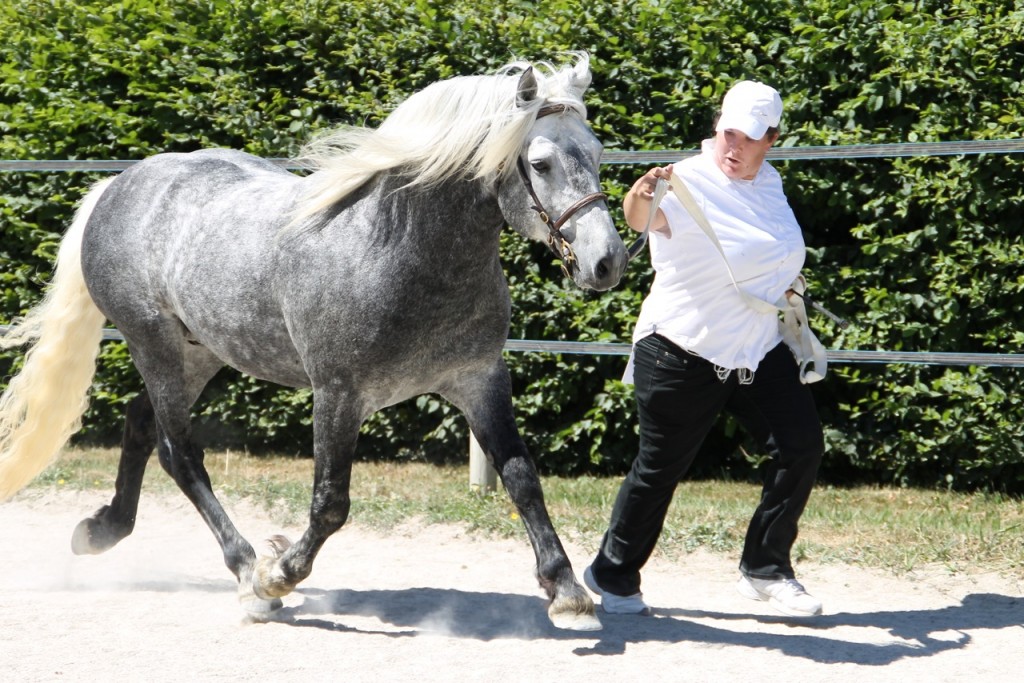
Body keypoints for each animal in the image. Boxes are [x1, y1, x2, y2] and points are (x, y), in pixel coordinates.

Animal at [0, 56, 622, 634]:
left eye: (596, 151)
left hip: (200, 352)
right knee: (179, 453)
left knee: (139, 423)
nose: (607, 261)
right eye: (539, 163)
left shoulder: (479, 379)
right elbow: (330, 505)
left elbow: (522, 477)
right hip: (153, 344)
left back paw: (101, 531)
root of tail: (119, 185)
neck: (396, 249)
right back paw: (246, 572)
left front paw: (568, 593)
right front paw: (277, 574)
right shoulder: (338, 394)